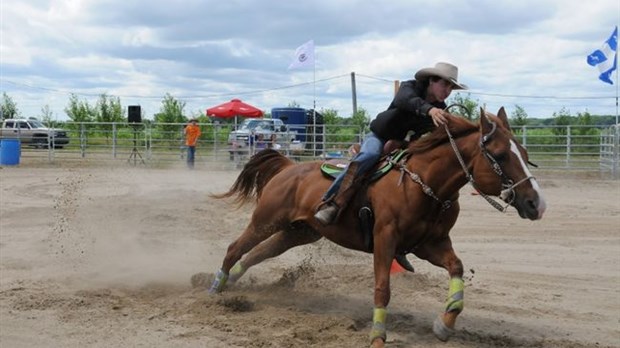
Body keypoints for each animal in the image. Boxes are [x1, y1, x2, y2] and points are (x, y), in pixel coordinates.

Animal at [208, 107, 548, 346]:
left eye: (525, 155)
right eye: (500, 155)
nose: (537, 204)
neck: (424, 184)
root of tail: (288, 167)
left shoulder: (431, 244)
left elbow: (457, 269)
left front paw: (444, 325)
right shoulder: (385, 239)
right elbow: (383, 289)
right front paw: (377, 337)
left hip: (298, 232)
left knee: (258, 253)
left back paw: (232, 283)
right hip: (266, 220)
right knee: (235, 247)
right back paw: (214, 290)